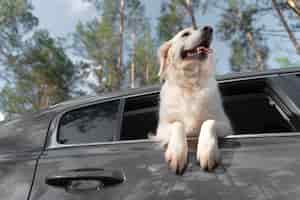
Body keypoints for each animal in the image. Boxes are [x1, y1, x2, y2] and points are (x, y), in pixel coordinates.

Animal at [155, 26, 232, 173]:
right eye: (185, 34)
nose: (209, 28)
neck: (190, 85)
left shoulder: (226, 125)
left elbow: (208, 122)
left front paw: (207, 151)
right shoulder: (161, 129)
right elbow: (178, 124)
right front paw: (177, 152)